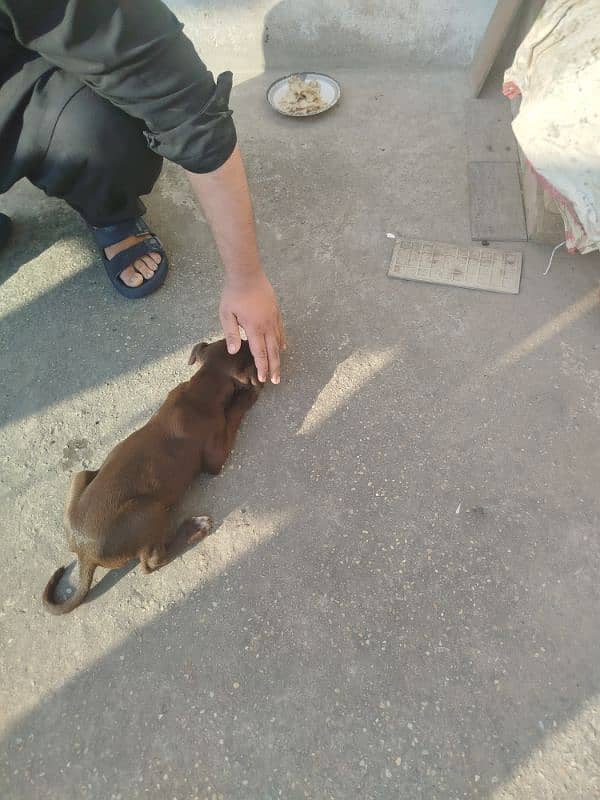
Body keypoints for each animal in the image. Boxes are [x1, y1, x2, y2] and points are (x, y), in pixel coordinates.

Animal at [44, 338, 260, 612]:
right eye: (247, 349)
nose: (249, 339)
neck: (200, 387)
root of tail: (84, 552)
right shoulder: (215, 457)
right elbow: (233, 415)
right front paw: (248, 396)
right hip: (149, 510)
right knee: (151, 563)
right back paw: (194, 527)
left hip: (81, 476)